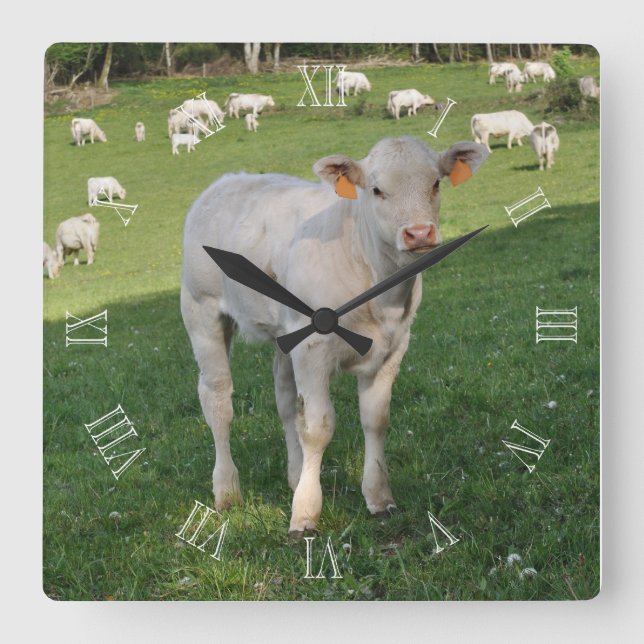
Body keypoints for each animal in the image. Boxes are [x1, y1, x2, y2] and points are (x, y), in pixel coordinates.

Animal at [181, 136, 489, 535]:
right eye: (376, 189)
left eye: (435, 183)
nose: (419, 233)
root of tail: (228, 180)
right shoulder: (313, 348)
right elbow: (318, 427)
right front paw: (305, 513)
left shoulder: (393, 347)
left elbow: (375, 419)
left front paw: (378, 497)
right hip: (201, 310)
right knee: (218, 400)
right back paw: (227, 492)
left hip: (286, 333)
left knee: (285, 401)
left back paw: (295, 475)